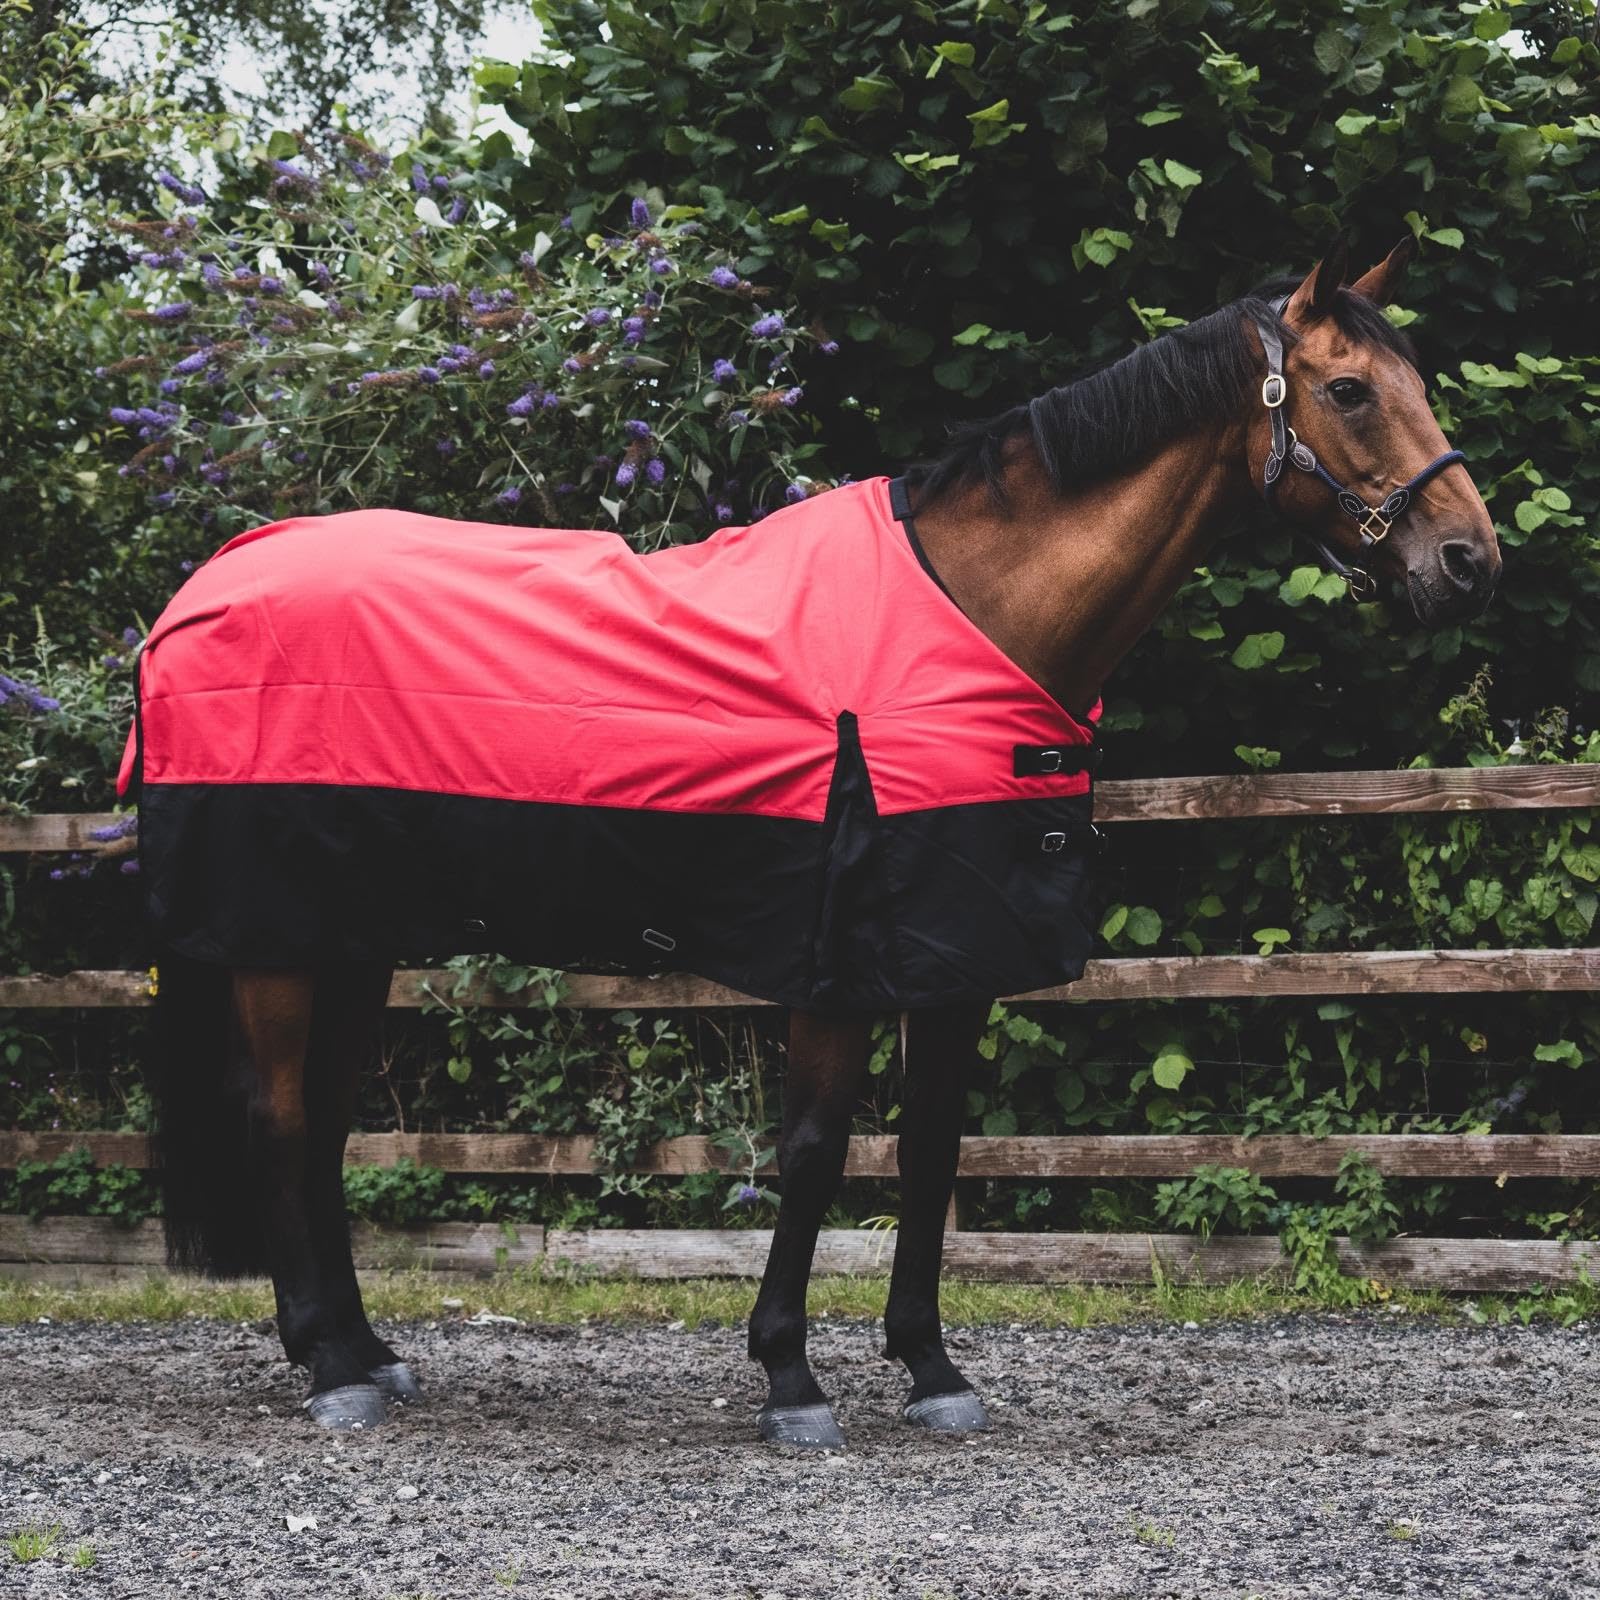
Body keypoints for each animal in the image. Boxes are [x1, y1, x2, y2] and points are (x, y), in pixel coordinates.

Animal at [130, 238, 1499, 1441]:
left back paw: (363, 1350)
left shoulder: (958, 953)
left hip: (348, 935)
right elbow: (813, 1148)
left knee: (319, 1123)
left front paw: (931, 1368)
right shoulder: (838, 955)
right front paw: (790, 1376)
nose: (1468, 561)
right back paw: (329, 1370)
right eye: (1347, 390)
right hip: (277, 936)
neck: (975, 613)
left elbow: (932, 1150)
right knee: (276, 1114)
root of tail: (201, 589)